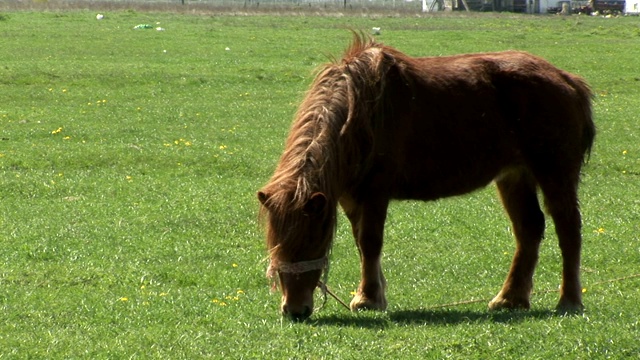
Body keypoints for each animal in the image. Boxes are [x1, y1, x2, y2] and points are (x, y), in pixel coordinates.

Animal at [258, 33, 596, 320]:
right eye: (275, 244)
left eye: (309, 241)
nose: (294, 310)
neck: (360, 114)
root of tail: (568, 81)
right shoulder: (350, 196)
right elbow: (360, 242)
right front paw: (373, 293)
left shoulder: (376, 191)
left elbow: (370, 241)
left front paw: (367, 299)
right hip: (514, 176)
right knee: (529, 229)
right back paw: (510, 299)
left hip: (554, 173)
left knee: (568, 229)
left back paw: (569, 300)